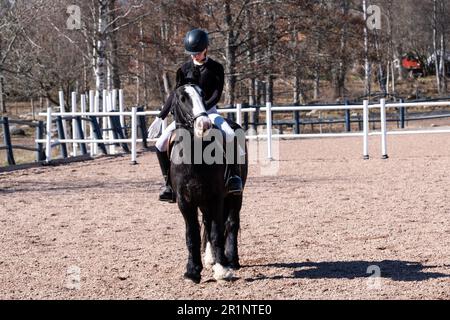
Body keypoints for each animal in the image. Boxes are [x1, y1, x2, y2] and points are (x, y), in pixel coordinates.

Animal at [169, 83, 248, 282]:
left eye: (203, 95)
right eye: (182, 98)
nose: (204, 125)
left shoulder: (216, 198)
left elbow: (217, 231)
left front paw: (222, 269)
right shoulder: (185, 201)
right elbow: (192, 234)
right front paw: (192, 271)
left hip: (235, 196)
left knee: (231, 223)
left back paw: (231, 259)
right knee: (206, 222)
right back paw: (209, 258)